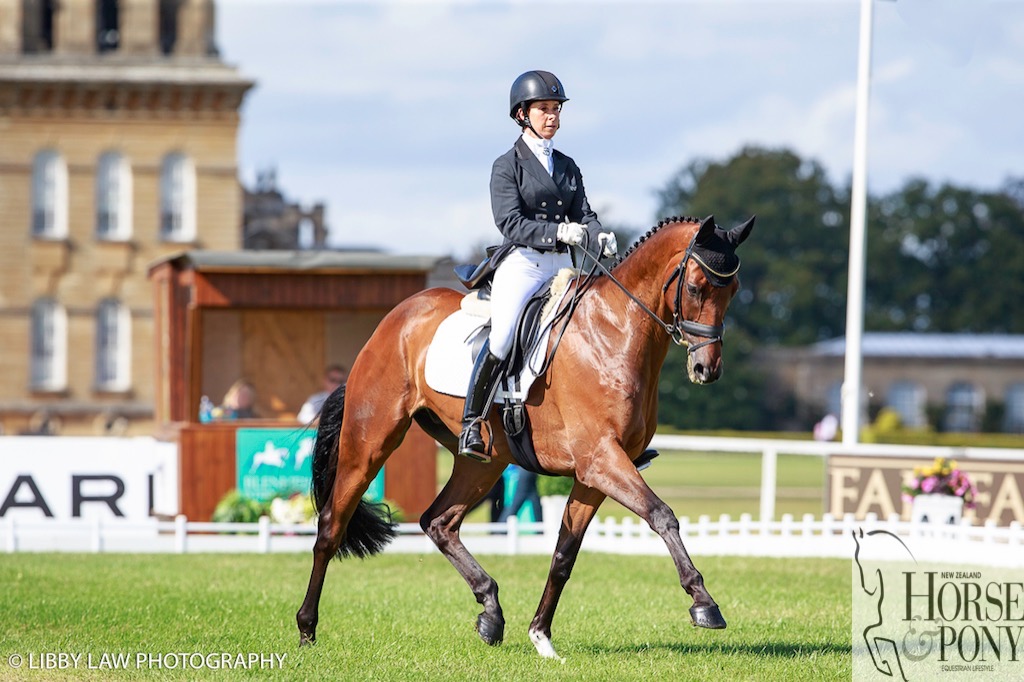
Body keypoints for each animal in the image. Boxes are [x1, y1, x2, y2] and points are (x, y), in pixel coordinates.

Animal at [294, 214, 753, 659]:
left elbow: (564, 554)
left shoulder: (594, 474)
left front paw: (540, 635)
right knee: (331, 526)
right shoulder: (602, 460)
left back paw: (491, 612)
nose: (707, 369)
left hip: (484, 462)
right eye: (694, 287)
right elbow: (662, 515)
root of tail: (392, 320)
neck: (614, 333)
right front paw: (704, 603)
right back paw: (306, 630)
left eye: (733, 291)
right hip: (370, 442)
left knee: (438, 522)